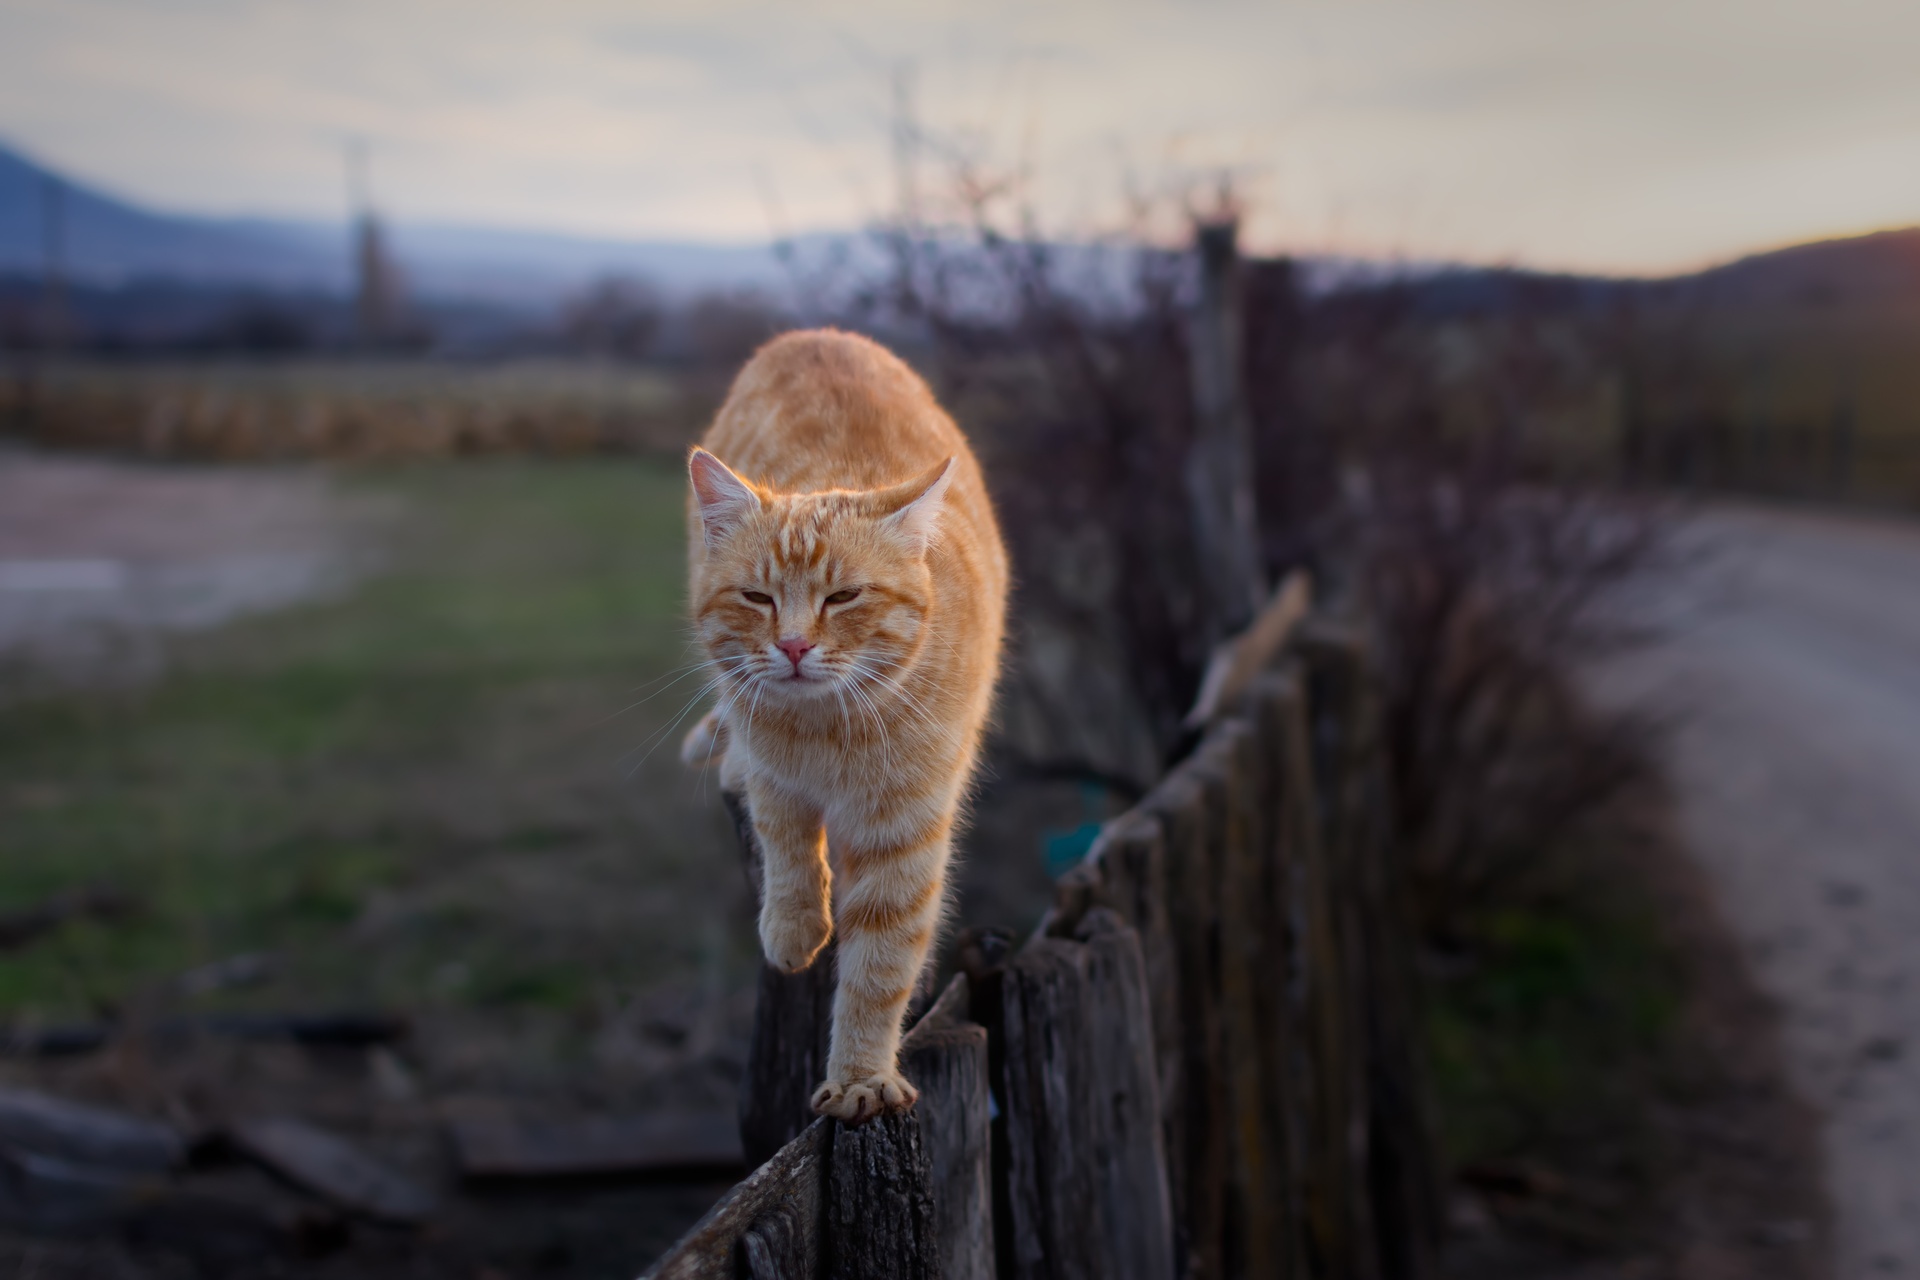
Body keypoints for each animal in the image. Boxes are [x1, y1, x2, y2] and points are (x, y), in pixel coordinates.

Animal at [679, 328, 1006, 1120]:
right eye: (758, 598)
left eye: (844, 597)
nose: (794, 646)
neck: (830, 732)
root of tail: (815, 334)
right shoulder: (775, 775)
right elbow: (787, 844)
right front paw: (794, 929)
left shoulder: (906, 830)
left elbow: (880, 962)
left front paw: (861, 1078)